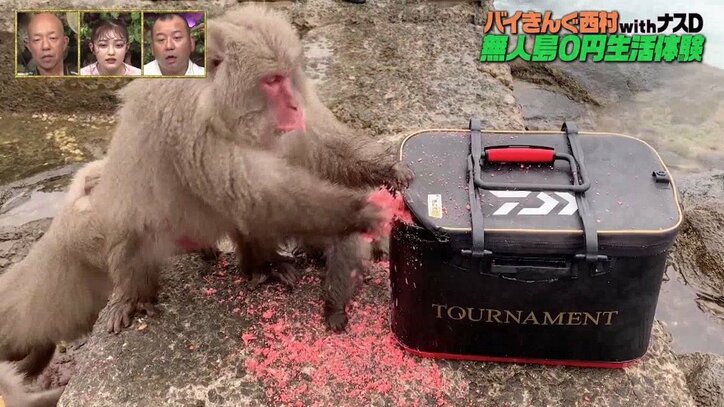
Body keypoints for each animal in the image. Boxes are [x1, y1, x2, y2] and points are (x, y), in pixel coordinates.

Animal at [89, 5, 388, 335]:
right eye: (271, 81)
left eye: (286, 76)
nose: (294, 105)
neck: (219, 101)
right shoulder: (191, 121)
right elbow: (255, 192)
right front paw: (361, 211)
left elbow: (313, 149)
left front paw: (387, 168)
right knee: (136, 236)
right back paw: (131, 296)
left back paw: (263, 265)